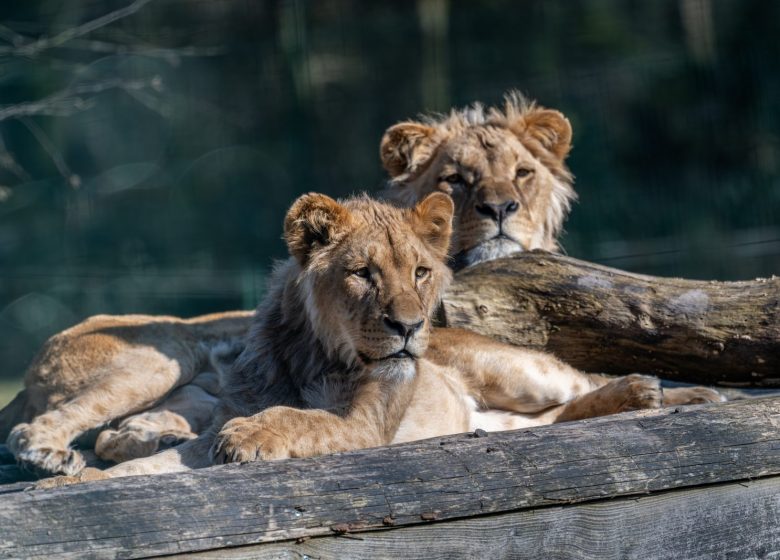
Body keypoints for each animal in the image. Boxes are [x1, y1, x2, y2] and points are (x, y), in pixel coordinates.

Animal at [32, 193, 720, 488]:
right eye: (362, 273)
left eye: (419, 271)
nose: (410, 327)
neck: (315, 350)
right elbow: (163, 459)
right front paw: (78, 482)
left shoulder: (363, 424)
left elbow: (299, 419)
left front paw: (253, 437)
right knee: (551, 419)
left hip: (519, 371)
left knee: (582, 383)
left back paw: (670, 394)